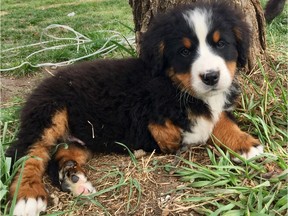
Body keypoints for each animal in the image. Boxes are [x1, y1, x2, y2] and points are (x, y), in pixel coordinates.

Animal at [6, 0, 264, 215]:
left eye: (221, 44)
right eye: (185, 51)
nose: (211, 77)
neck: (176, 85)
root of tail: (44, 83)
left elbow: (219, 119)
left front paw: (244, 143)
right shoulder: (146, 114)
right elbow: (180, 125)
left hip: (84, 137)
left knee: (61, 152)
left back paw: (72, 177)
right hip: (49, 112)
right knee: (28, 155)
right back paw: (27, 196)